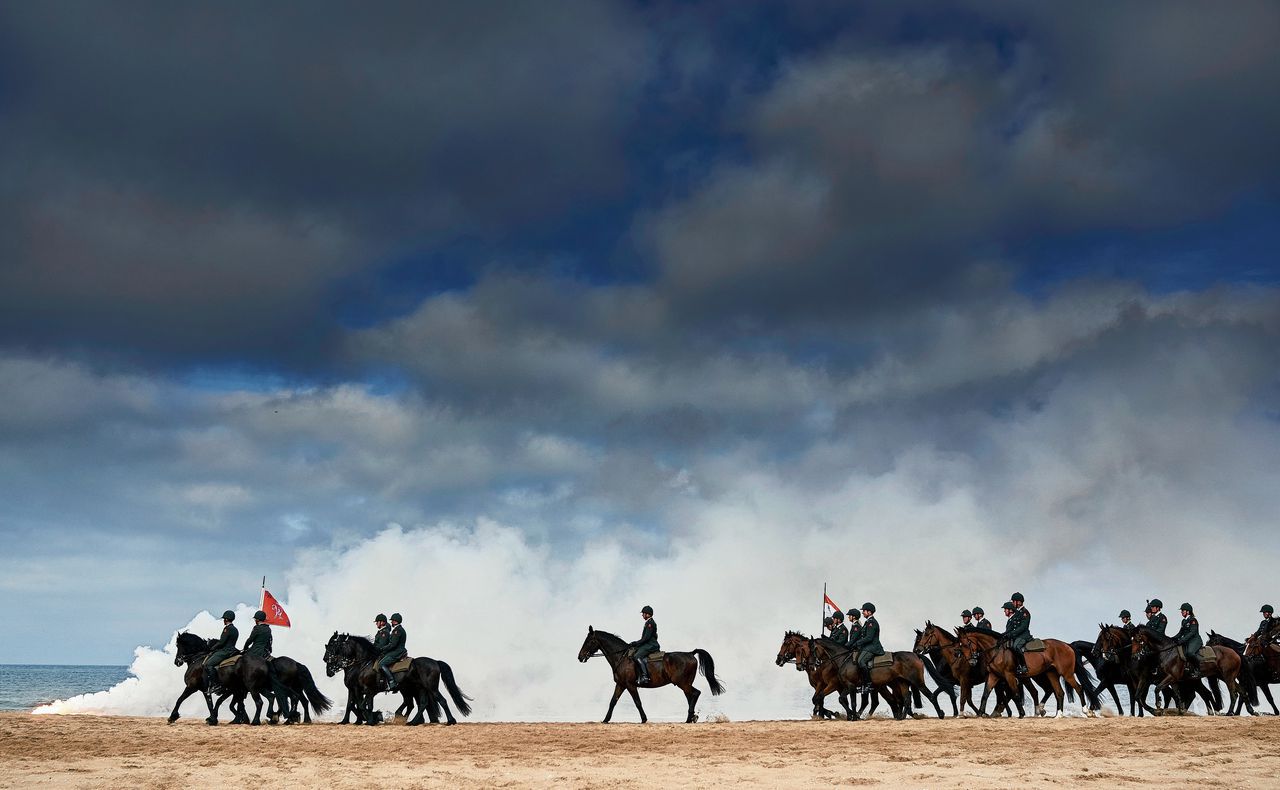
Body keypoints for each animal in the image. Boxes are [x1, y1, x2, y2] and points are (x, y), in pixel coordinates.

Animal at [578, 624, 721, 722]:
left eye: (589, 641)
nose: (580, 657)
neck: (621, 657)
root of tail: (690, 653)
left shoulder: (630, 685)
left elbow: (637, 702)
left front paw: (644, 719)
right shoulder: (621, 684)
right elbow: (613, 701)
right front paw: (606, 720)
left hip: (682, 683)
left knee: (695, 694)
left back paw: (689, 718)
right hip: (685, 684)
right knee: (690, 696)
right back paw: (691, 717)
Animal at [962, 627, 1090, 717]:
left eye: (966, 644)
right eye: (960, 645)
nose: (971, 661)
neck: (997, 651)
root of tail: (1067, 645)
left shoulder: (1009, 676)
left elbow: (1015, 694)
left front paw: (1021, 713)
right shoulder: (994, 676)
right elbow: (985, 694)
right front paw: (980, 713)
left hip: (1066, 674)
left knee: (1078, 688)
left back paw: (1086, 711)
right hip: (1051, 674)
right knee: (1059, 692)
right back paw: (1057, 715)